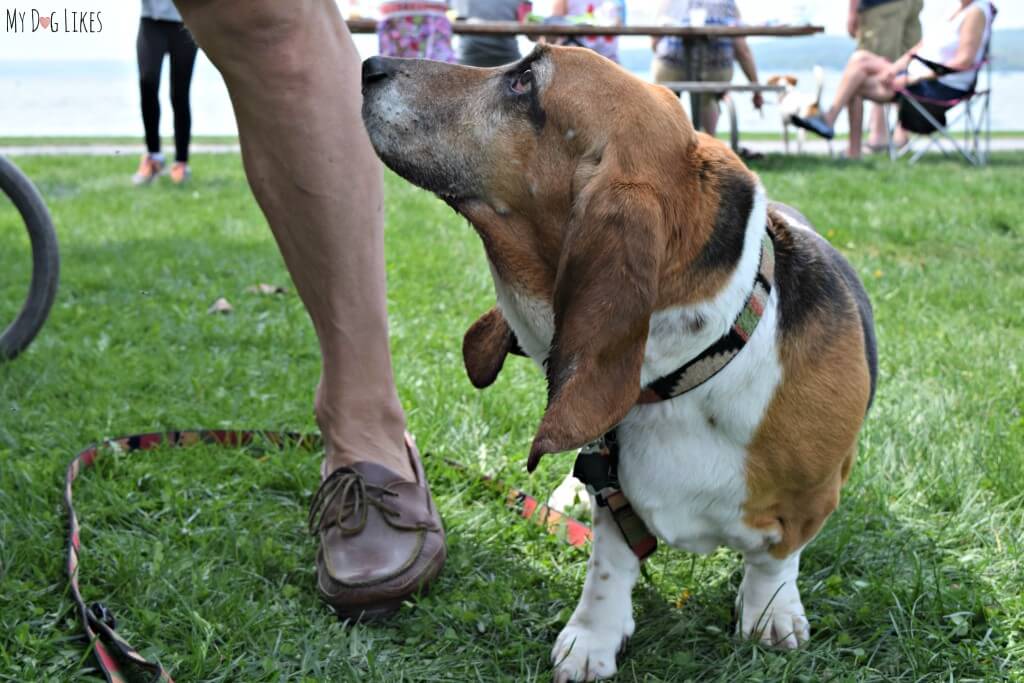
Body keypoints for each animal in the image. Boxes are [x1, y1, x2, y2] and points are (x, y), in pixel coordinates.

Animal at [358, 45, 872, 679]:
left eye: (524, 81)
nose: (368, 66)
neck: (691, 370)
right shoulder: (612, 486)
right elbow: (610, 561)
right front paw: (593, 636)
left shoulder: (812, 498)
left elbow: (776, 558)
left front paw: (771, 613)